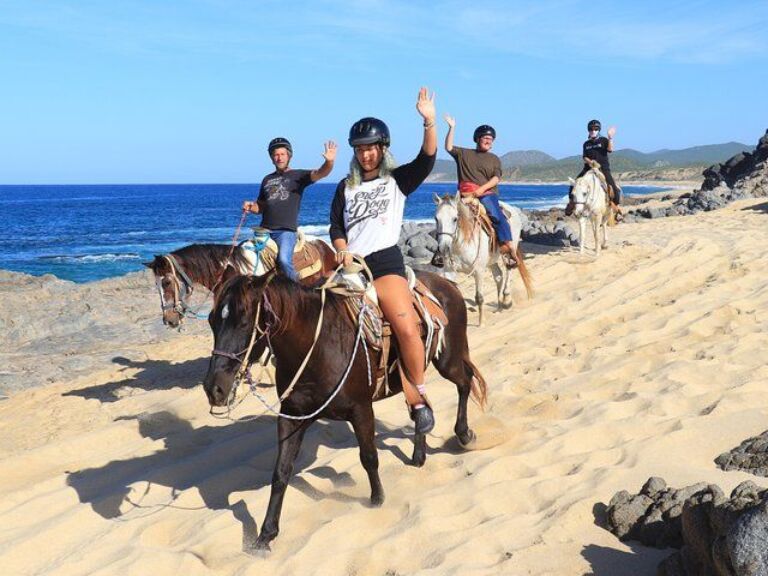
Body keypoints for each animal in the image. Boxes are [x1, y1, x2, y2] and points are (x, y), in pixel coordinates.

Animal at [204, 270, 486, 552]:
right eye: (211, 321)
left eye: (244, 321)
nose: (213, 388)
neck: (316, 348)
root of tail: (446, 282)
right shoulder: (292, 416)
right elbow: (281, 472)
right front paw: (266, 534)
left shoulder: (361, 410)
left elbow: (369, 457)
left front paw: (377, 499)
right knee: (421, 401)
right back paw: (419, 455)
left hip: (447, 359)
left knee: (464, 382)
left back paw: (464, 435)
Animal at [432, 194, 536, 326]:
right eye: (436, 219)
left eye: (455, 219)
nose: (444, 248)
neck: (461, 245)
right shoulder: (448, 272)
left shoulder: (479, 271)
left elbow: (479, 297)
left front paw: (481, 323)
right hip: (492, 260)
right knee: (499, 276)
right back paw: (499, 307)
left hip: (509, 251)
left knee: (509, 270)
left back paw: (506, 301)